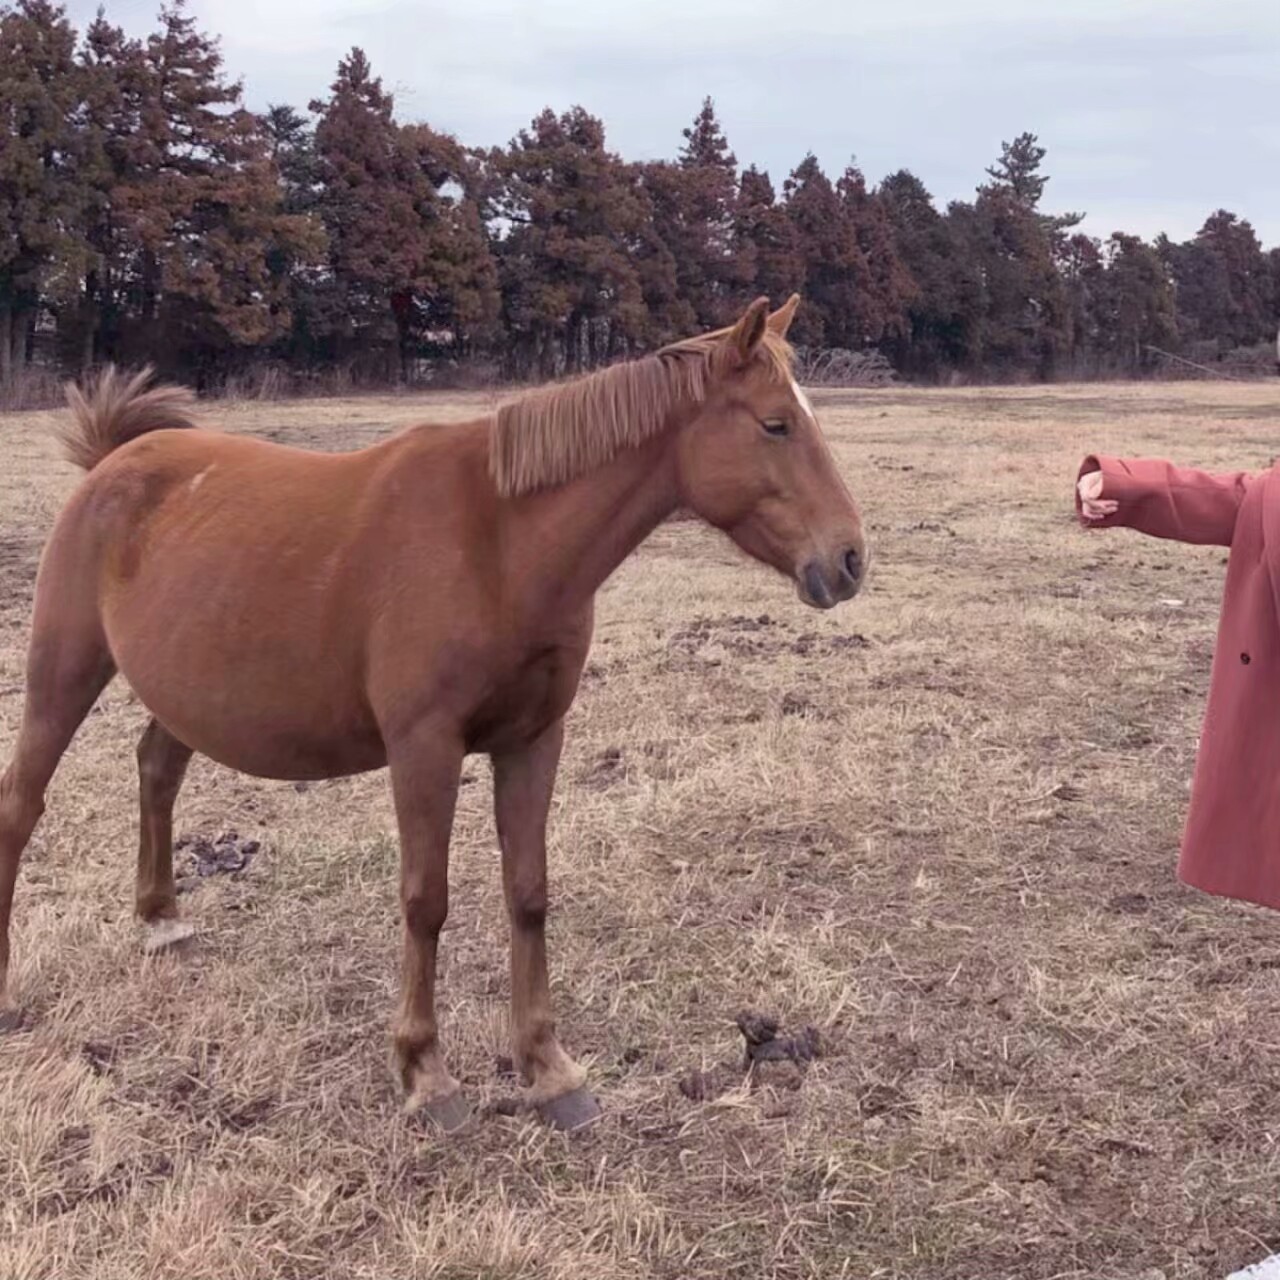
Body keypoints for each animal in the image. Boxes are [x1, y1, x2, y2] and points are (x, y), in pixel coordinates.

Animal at [0, 296, 870, 1131]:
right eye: (775, 424)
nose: (850, 559)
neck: (499, 544)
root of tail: (113, 461)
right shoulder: (425, 748)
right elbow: (426, 900)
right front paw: (426, 1074)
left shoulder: (533, 741)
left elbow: (529, 892)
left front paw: (548, 1071)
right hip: (63, 671)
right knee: (22, 803)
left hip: (184, 691)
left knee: (156, 768)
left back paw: (162, 922)